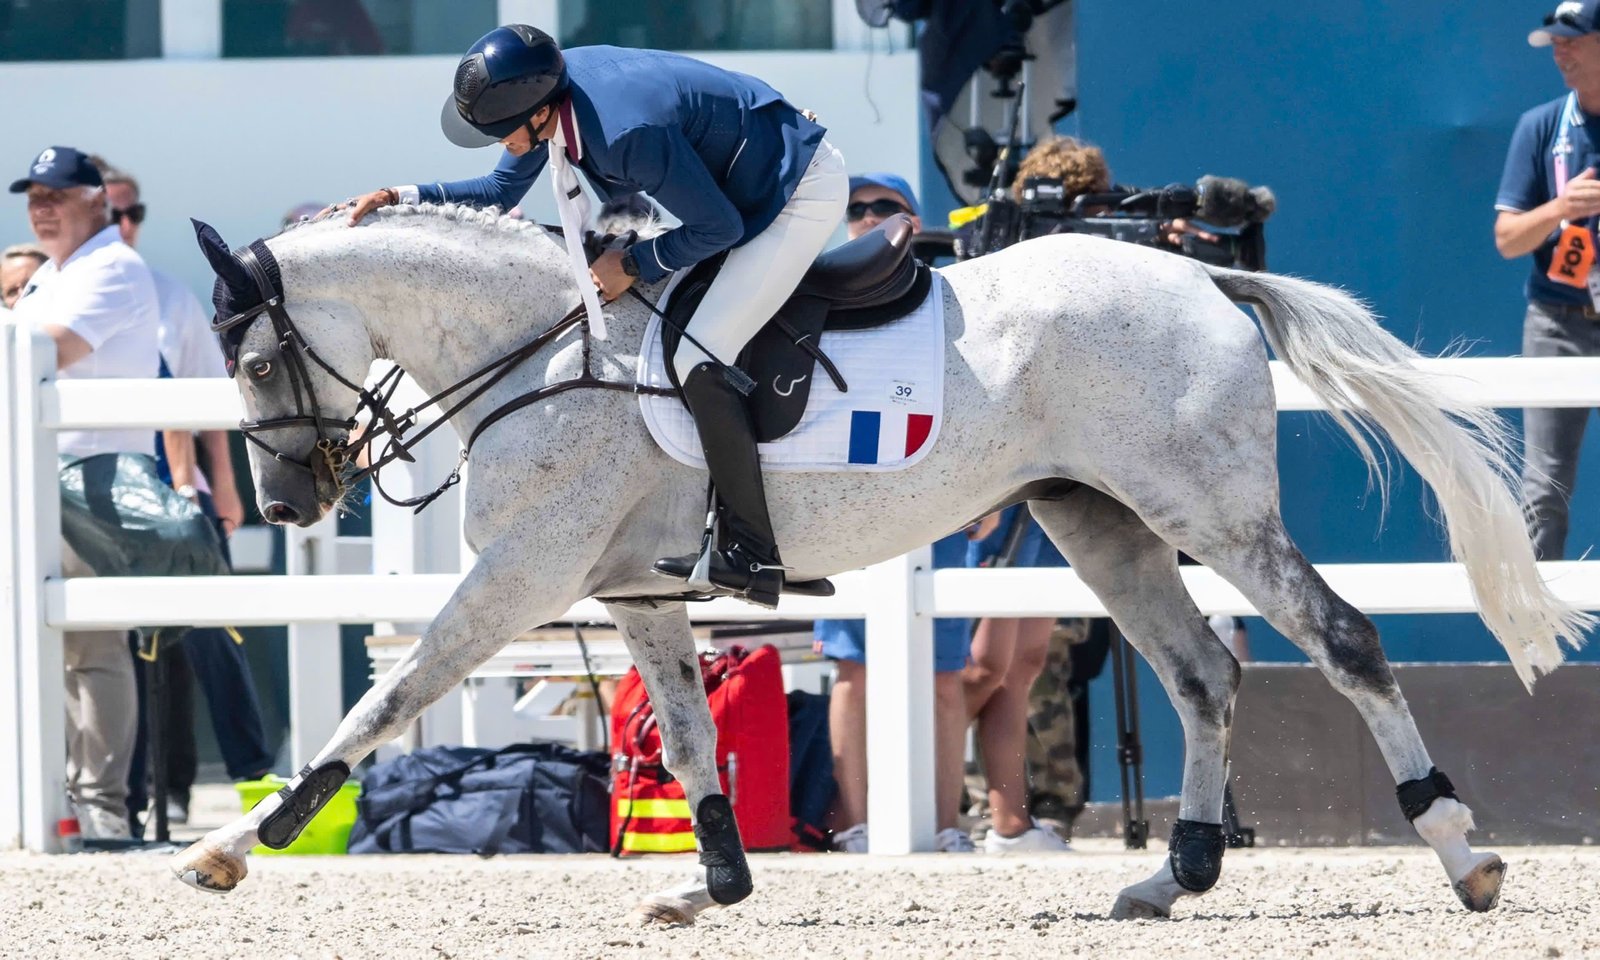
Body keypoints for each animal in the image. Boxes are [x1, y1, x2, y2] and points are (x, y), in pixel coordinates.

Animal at [172, 204, 1587, 921]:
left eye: (258, 359)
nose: (293, 499)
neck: (543, 345)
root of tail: (1203, 283)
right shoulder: (636, 590)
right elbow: (689, 735)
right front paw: (714, 884)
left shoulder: (523, 576)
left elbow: (387, 698)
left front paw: (244, 841)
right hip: (1097, 520)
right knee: (1201, 676)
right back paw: (1171, 874)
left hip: (1207, 513)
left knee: (1341, 642)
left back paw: (1462, 854)